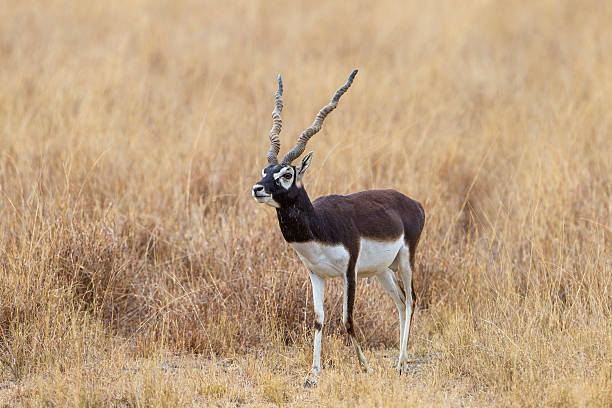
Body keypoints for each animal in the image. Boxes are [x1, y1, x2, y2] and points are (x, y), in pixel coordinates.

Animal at [251, 70, 424, 386]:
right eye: (265, 171)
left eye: (287, 173)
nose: (257, 189)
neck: (320, 226)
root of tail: (413, 203)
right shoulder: (315, 274)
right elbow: (318, 320)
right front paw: (313, 373)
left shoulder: (349, 272)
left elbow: (347, 319)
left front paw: (365, 367)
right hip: (382, 271)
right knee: (401, 302)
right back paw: (400, 361)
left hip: (406, 261)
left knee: (413, 301)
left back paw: (401, 364)